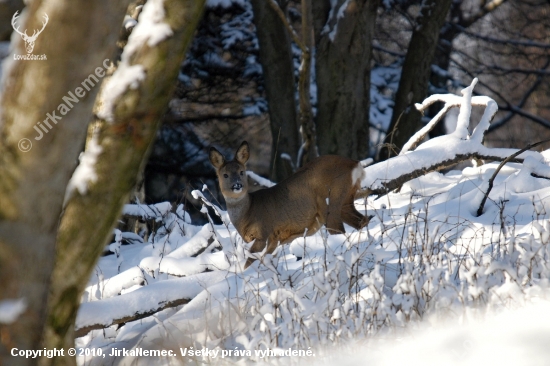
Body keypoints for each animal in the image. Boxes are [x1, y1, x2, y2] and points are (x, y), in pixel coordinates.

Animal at [210, 142, 370, 268]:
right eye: (225, 175)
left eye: (242, 172)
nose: (237, 185)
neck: (249, 212)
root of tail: (355, 165)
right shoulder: (275, 238)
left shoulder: (263, 233)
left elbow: (250, 262)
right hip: (346, 201)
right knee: (363, 220)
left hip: (330, 201)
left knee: (340, 231)